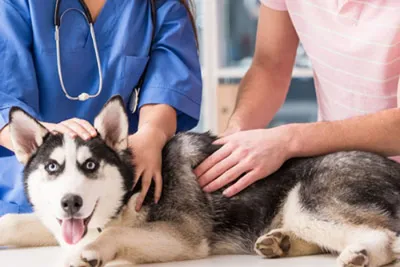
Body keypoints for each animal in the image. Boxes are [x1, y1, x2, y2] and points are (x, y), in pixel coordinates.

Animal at [0, 96, 400, 267]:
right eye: (53, 167)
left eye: (90, 165)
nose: (71, 202)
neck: (131, 188)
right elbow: (15, 221)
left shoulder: (183, 237)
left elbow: (116, 235)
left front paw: (92, 252)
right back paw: (280, 243)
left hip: (306, 203)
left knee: (383, 236)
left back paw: (362, 254)